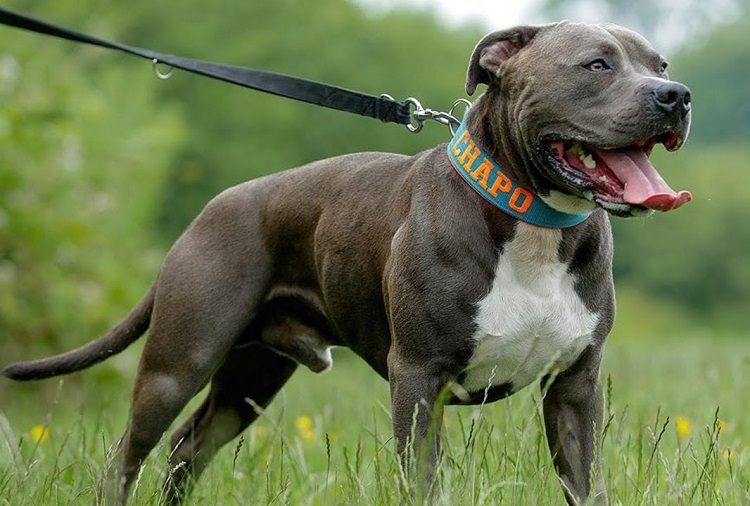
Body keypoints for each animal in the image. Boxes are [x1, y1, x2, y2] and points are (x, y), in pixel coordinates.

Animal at [1, 20, 692, 506]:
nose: (676, 95)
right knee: (128, 453)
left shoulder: (574, 388)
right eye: (597, 64)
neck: (533, 223)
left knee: (188, 448)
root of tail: (210, 208)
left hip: (250, 379)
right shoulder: (418, 380)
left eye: (659, 65)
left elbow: (584, 482)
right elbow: (423, 483)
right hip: (180, 361)